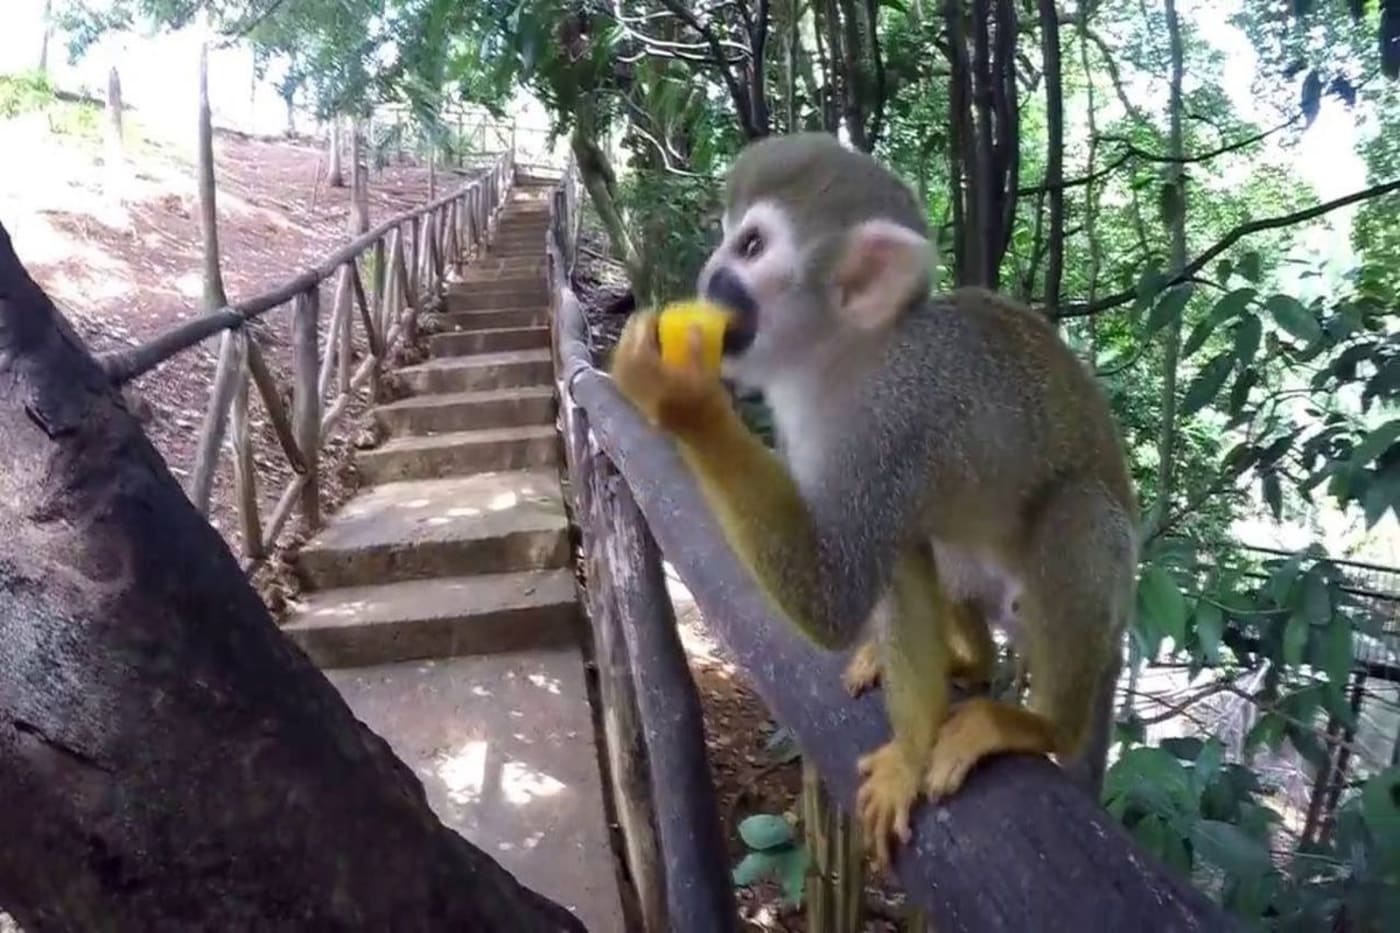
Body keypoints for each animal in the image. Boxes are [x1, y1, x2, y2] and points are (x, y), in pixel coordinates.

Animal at [609, 132, 1137, 867]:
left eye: (750, 247)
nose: (710, 275)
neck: (847, 358)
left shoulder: (897, 424)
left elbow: (835, 593)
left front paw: (679, 395)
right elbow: (877, 563)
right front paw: (911, 749)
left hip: (1101, 580)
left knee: (1077, 514)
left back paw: (1040, 725)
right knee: (924, 543)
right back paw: (968, 659)